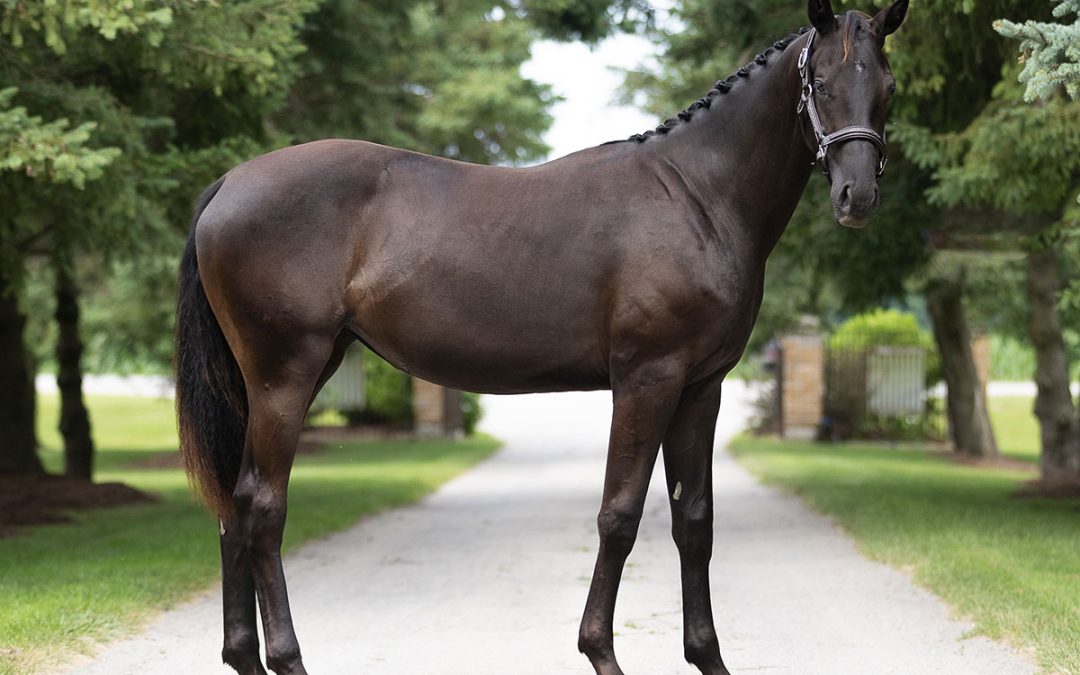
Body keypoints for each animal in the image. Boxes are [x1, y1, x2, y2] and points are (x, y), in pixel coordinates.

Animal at [177, 2, 911, 669]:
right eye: (820, 80)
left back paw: (243, 653)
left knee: (232, 505)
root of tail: (228, 184)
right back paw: (288, 656)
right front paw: (601, 652)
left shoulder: (702, 387)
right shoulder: (648, 379)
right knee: (262, 506)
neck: (697, 197)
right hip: (285, 375)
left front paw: (708, 656)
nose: (857, 198)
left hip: (277, 376)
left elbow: (693, 520)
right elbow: (620, 515)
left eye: (887, 86)